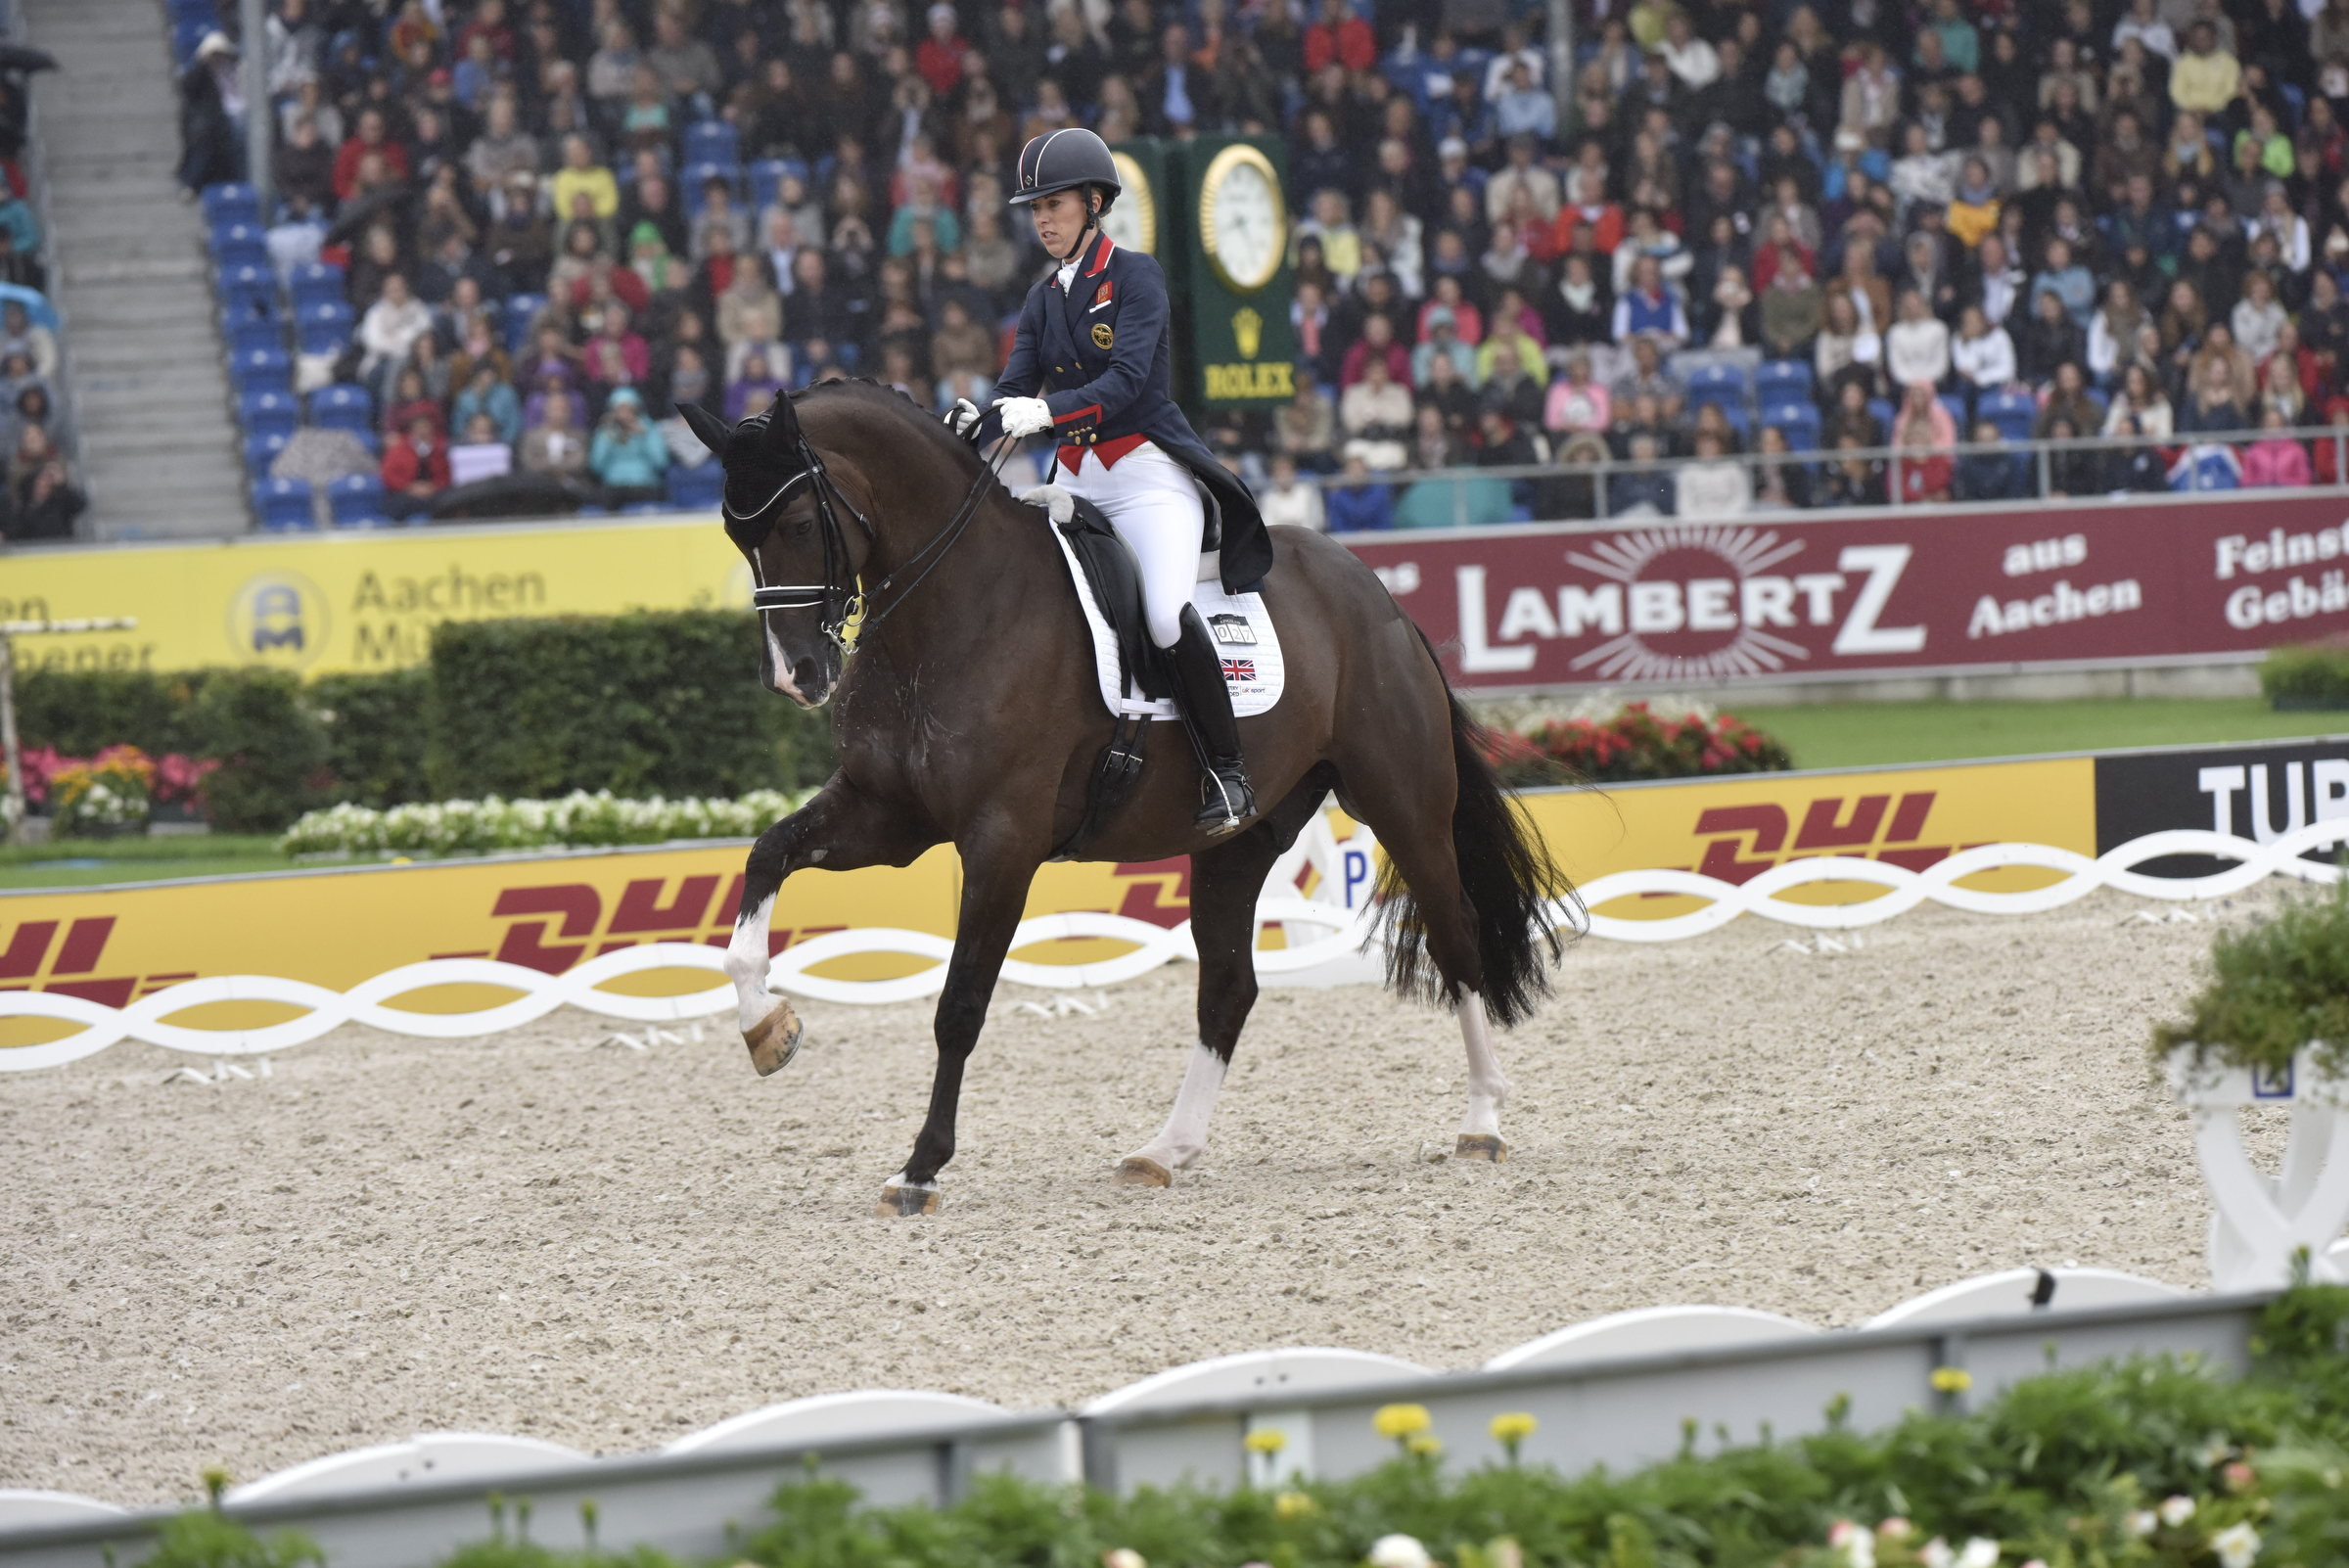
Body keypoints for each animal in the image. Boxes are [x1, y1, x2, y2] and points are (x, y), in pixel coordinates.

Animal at [675, 382, 1572, 1216]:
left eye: (796, 523)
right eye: (734, 534)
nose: (794, 677)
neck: (954, 604)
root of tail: (1377, 597)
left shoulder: (1003, 839)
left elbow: (959, 1004)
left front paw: (921, 1168)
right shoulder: (885, 815)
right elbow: (766, 859)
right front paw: (769, 1030)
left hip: (1403, 803)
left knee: (1455, 938)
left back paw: (1482, 1124)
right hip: (1239, 842)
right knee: (1228, 988)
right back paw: (1166, 1149)